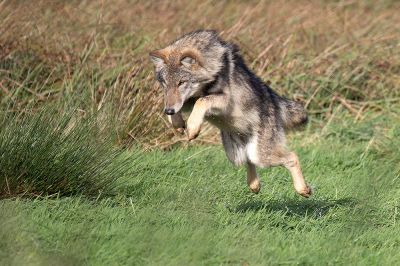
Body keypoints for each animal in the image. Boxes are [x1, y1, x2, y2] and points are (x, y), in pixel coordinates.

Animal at [150, 30, 312, 197]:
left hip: (262, 157)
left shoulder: (222, 99)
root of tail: (276, 103)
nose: (169, 110)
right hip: (235, 155)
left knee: (292, 156)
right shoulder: (185, 101)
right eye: (164, 83)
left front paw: (192, 127)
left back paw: (303, 189)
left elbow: (202, 101)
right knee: (249, 162)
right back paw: (255, 185)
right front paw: (177, 122)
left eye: (181, 82)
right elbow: (172, 103)